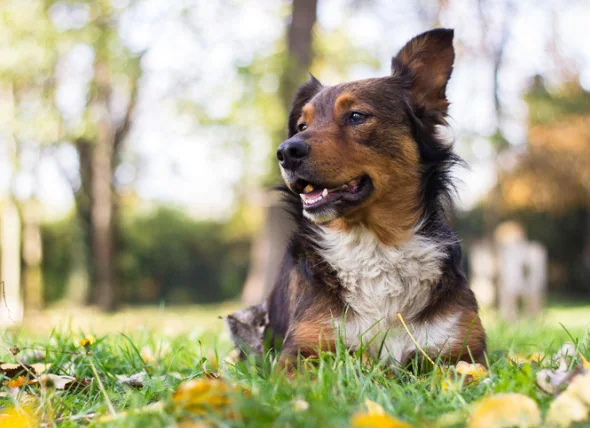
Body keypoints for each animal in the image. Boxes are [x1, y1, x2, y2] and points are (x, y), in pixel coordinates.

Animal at [266, 27, 488, 368]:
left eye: (357, 116)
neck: (376, 246)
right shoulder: (301, 351)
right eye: (302, 125)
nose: (285, 152)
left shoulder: (464, 353)